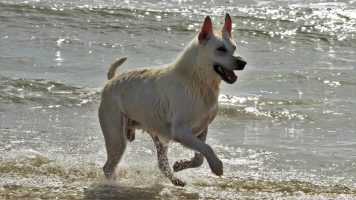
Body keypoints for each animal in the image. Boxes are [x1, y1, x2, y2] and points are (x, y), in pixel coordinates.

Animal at [98, 13, 246, 187]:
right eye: (220, 49)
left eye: (234, 47)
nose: (243, 62)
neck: (196, 79)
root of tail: (110, 83)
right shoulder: (181, 131)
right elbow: (207, 148)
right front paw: (217, 166)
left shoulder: (202, 129)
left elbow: (200, 157)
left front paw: (180, 164)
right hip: (117, 137)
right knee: (108, 166)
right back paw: (113, 184)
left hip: (156, 135)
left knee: (161, 164)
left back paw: (176, 179)